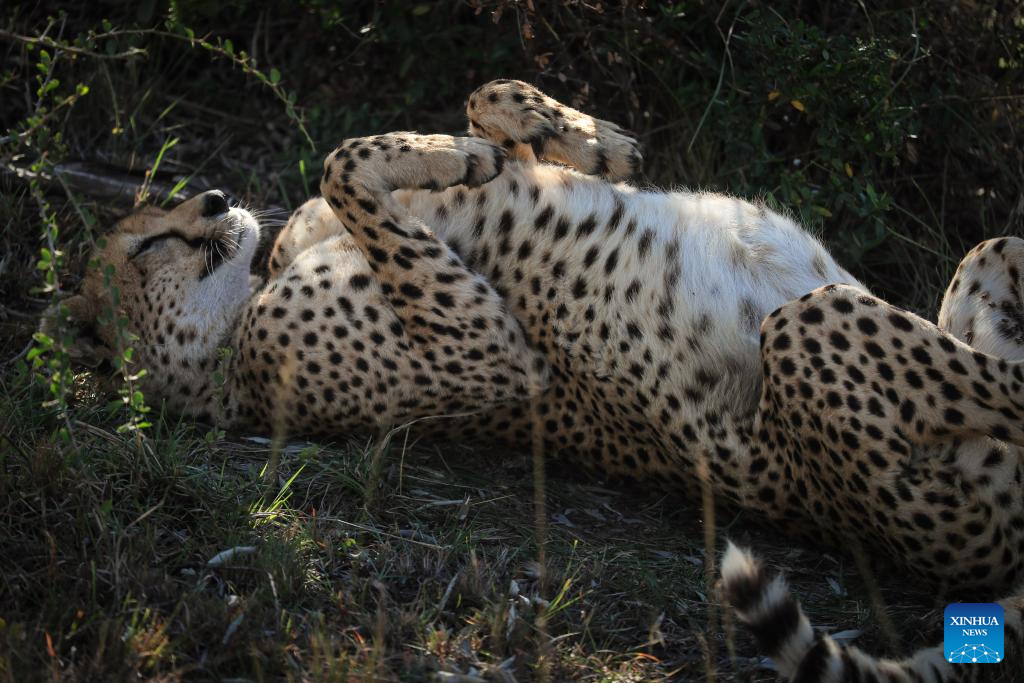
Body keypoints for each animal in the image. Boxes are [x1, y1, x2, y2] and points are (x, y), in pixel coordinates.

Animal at [47, 79, 1024, 678]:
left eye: (166, 206)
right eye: (147, 244)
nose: (216, 200)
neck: (243, 308)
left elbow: (471, 108)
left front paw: (577, 139)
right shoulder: (487, 349)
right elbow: (343, 159)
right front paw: (465, 154)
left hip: (979, 262)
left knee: (994, 253)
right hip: (809, 327)